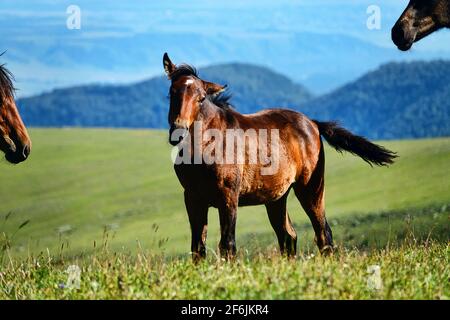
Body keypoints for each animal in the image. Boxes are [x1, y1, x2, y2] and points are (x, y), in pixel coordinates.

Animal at [163, 53, 396, 262]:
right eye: (171, 93)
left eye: (201, 98)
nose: (178, 132)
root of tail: (312, 123)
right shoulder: (192, 198)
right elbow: (197, 248)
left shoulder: (228, 196)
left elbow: (227, 244)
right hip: (276, 197)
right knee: (288, 236)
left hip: (311, 189)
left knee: (323, 233)